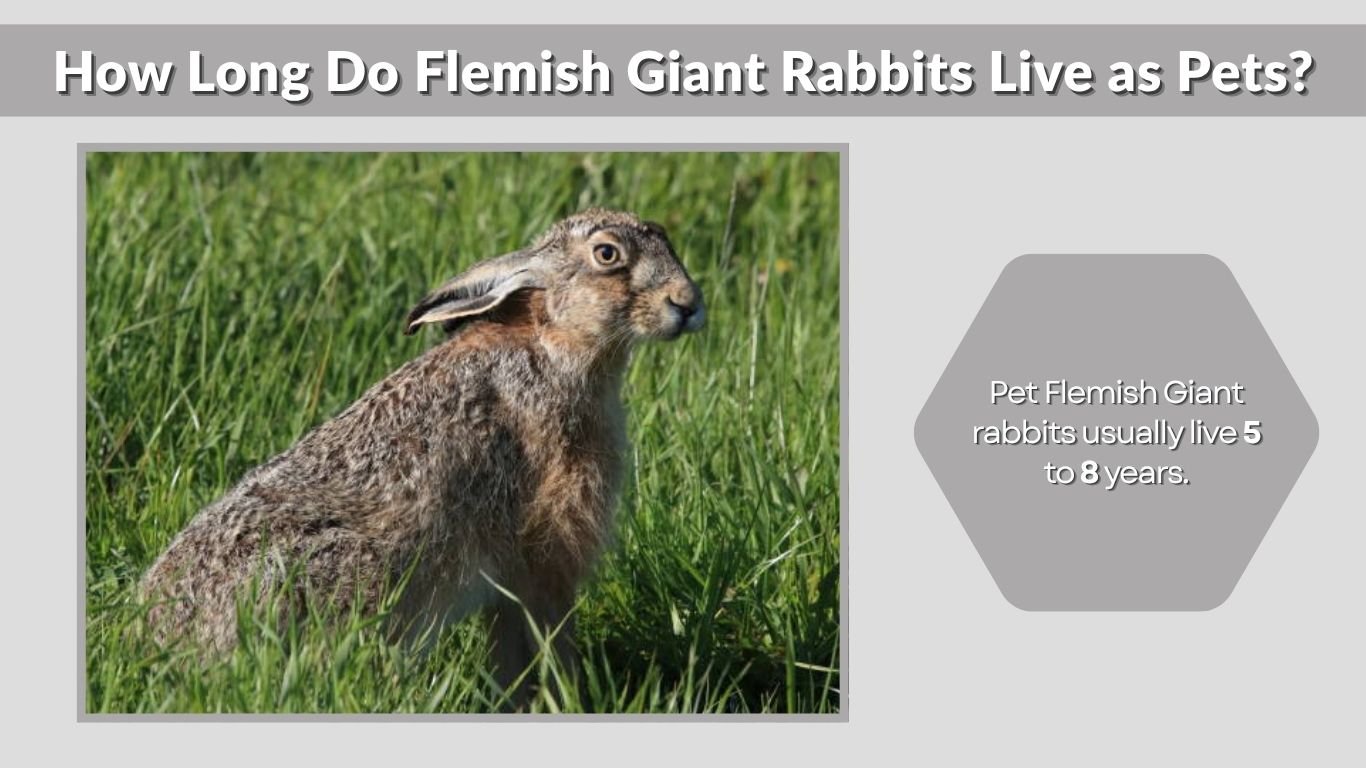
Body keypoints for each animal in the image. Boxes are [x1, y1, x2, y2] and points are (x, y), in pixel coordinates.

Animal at [138, 208, 705, 697]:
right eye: (608, 254)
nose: (689, 304)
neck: (555, 340)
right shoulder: (548, 548)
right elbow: (545, 629)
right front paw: (565, 695)